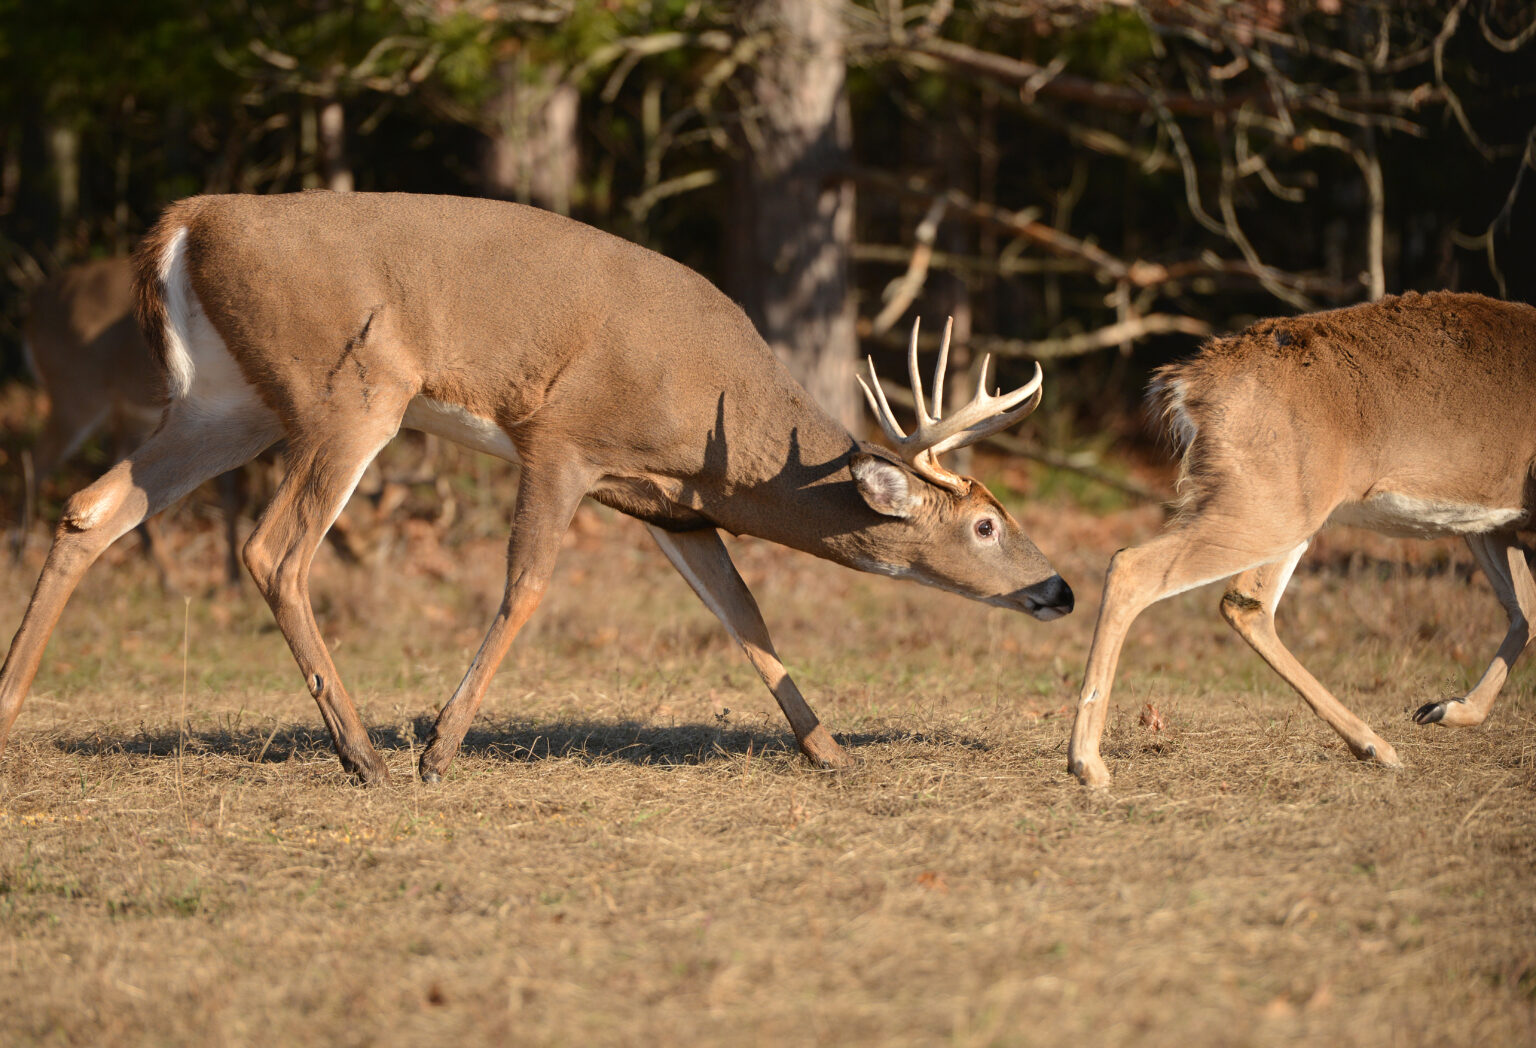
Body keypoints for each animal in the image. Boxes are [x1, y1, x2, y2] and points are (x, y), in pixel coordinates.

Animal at [0, 192, 1069, 783]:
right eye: (984, 524)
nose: (1060, 587)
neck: (714, 430)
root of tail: (187, 221)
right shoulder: (562, 440)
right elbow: (526, 587)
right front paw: (440, 750)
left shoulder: (668, 506)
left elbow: (744, 616)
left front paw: (830, 751)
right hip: (352, 389)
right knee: (273, 549)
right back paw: (367, 757)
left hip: (227, 401)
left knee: (92, 510)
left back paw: (9, 712)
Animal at [1069, 291, 1536, 783]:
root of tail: (1185, 383)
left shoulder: (1491, 521)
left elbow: (1524, 609)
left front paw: (1446, 708)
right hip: (1270, 504)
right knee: (1133, 566)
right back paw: (1088, 763)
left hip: (1282, 505)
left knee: (1245, 602)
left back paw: (1375, 745)